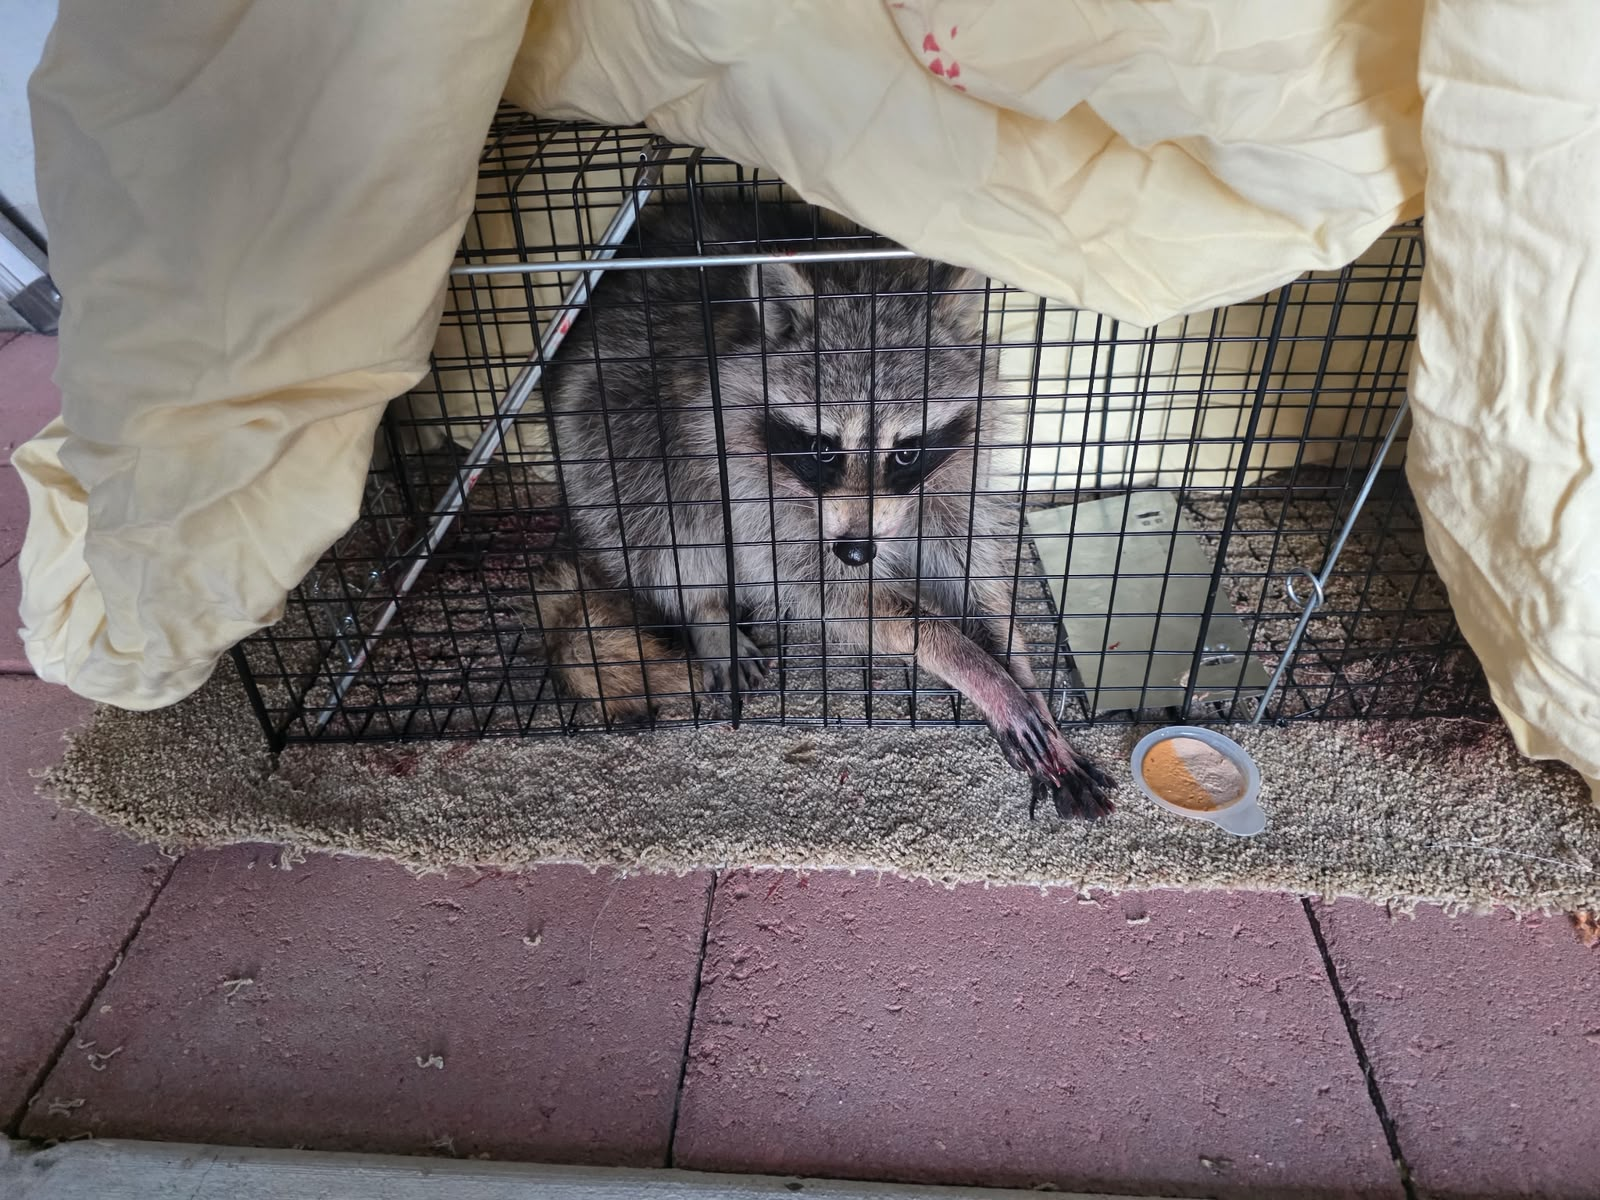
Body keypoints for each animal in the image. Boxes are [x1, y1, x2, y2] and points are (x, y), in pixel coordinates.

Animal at [528, 199, 1113, 819]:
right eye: (824, 449)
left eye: (905, 451)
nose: (855, 551)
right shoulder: (749, 479)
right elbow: (828, 591)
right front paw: (969, 662)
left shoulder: (951, 475)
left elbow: (972, 572)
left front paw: (1019, 672)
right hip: (610, 424)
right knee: (661, 518)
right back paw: (706, 608)